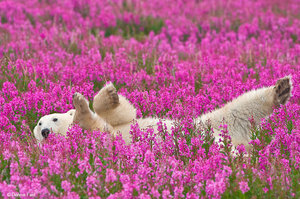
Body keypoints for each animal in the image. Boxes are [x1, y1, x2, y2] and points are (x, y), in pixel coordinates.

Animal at [34, 76, 292, 151]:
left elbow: (124, 114)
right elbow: (93, 125)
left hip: (211, 122)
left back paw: (281, 89)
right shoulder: (101, 139)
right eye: (38, 125)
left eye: (52, 118)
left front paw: (106, 95)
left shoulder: (119, 123)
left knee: (240, 107)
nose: (45, 131)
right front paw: (81, 107)